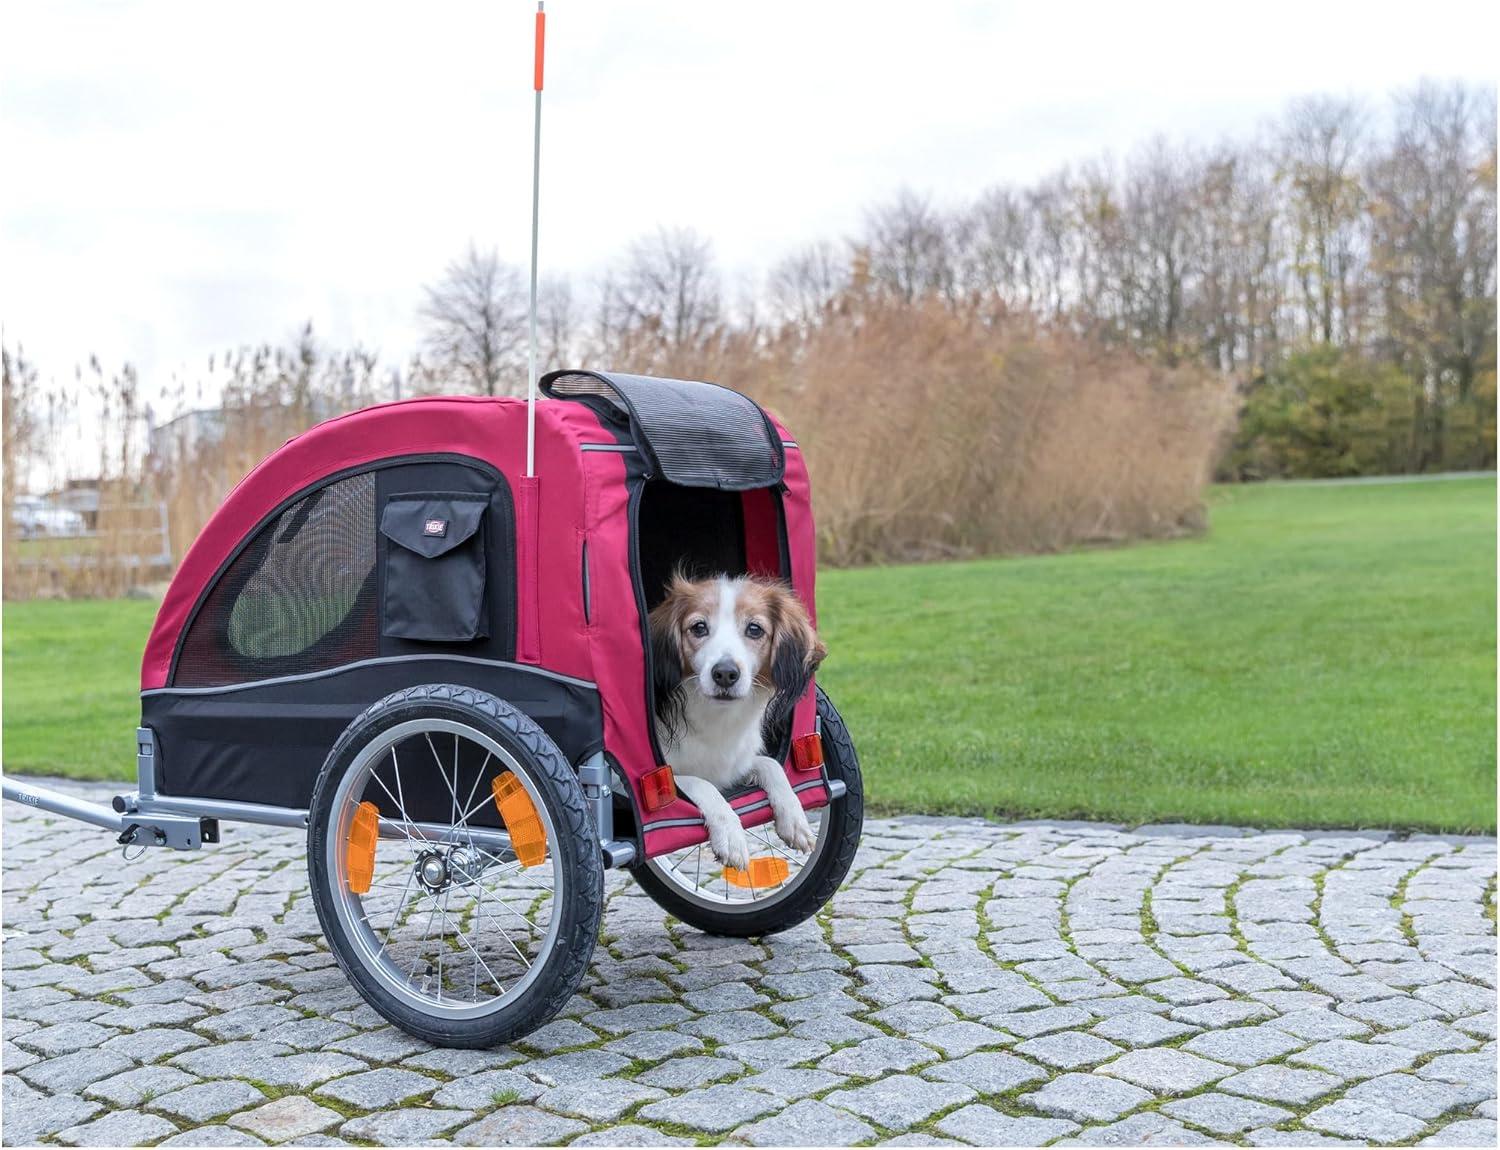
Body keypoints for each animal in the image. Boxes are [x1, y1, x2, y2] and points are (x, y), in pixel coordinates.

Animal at [651, 575, 828, 875]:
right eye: (699, 627)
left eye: (754, 629)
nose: (725, 673)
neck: (715, 716)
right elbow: (701, 783)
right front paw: (731, 838)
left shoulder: (734, 765)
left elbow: (772, 764)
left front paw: (795, 819)